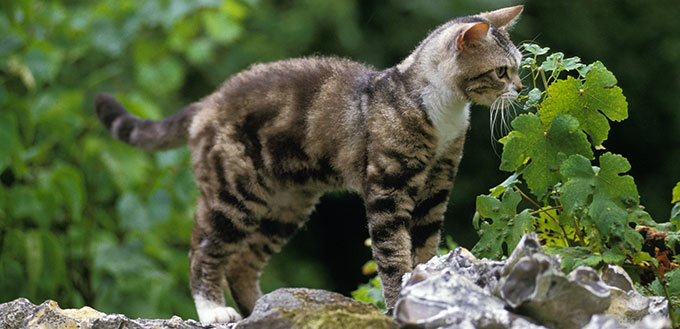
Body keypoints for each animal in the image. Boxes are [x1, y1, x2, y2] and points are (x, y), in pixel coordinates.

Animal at [93, 5, 524, 322]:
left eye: (518, 67)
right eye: (501, 71)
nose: (521, 88)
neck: (443, 111)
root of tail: (207, 102)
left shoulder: (437, 186)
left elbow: (425, 245)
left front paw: (427, 286)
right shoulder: (388, 187)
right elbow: (393, 254)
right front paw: (398, 301)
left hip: (287, 205)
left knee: (242, 263)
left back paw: (264, 309)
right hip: (233, 193)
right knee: (202, 250)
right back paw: (214, 311)